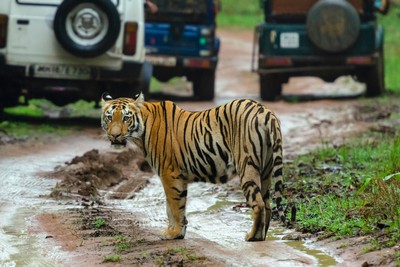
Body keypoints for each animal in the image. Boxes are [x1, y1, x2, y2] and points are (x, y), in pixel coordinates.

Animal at [101, 92, 286, 243]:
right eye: (109, 117)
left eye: (126, 118)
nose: (115, 136)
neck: (142, 131)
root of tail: (265, 111)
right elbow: (172, 207)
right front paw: (176, 231)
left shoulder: (169, 174)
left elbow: (175, 207)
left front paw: (173, 233)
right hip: (266, 170)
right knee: (267, 205)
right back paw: (262, 235)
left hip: (247, 165)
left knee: (258, 203)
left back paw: (252, 236)